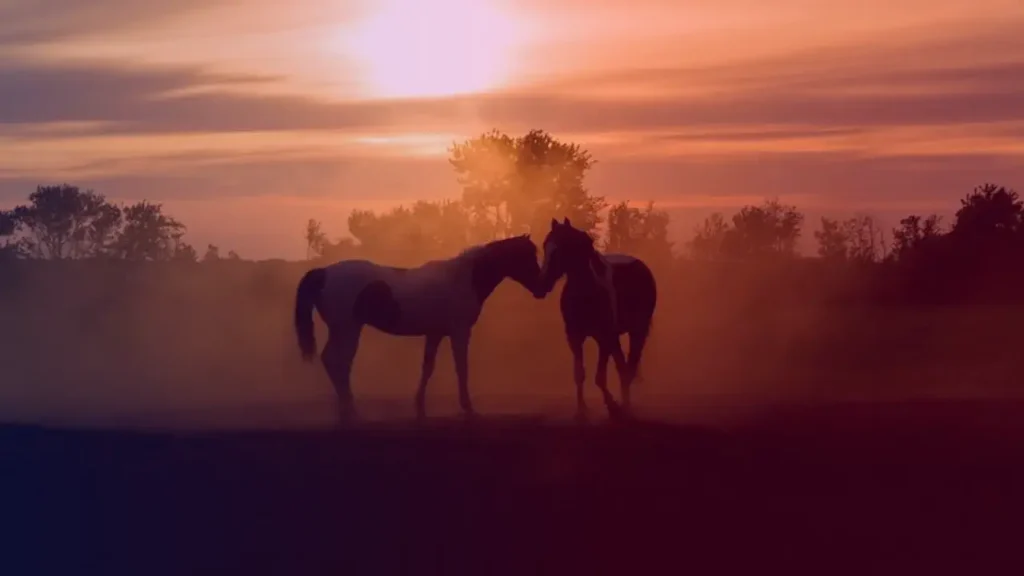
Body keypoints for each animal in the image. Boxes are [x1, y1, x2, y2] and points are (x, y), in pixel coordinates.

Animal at [293, 234, 541, 422]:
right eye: (528, 256)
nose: (541, 288)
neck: (463, 278)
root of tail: (323, 273)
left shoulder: (435, 333)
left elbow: (427, 368)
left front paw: (420, 407)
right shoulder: (459, 333)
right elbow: (462, 368)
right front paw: (468, 408)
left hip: (345, 330)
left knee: (335, 362)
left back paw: (346, 409)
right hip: (347, 330)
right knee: (337, 361)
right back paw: (350, 410)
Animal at [534, 218, 657, 421]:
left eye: (560, 247)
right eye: (545, 245)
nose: (541, 285)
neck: (587, 291)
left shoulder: (604, 338)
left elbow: (599, 377)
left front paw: (613, 406)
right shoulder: (575, 337)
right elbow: (579, 374)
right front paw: (582, 410)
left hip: (637, 332)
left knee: (629, 368)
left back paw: (626, 406)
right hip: (616, 338)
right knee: (622, 367)